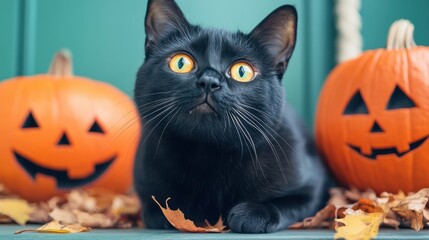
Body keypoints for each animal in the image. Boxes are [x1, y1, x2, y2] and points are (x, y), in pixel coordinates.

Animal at [134, 0, 328, 232]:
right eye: (181, 63)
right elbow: (156, 207)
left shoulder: (312, 188)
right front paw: (175, 214)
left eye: (242, 71)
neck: (208, 154)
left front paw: (252, 214)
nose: (209, 81)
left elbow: (287, 204)